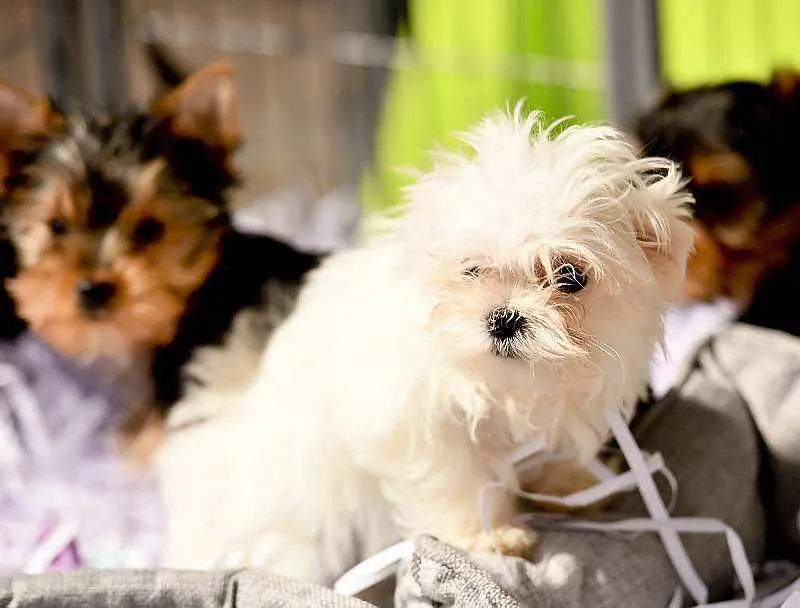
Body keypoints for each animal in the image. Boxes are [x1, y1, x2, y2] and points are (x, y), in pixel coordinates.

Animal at [158, 105, 693, 583]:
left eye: (570, 277)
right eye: (472, 269)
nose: (504, 318)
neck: (506, 385)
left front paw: (572, 485)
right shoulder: (412, 422)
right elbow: (457, 478)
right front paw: (489, 537)